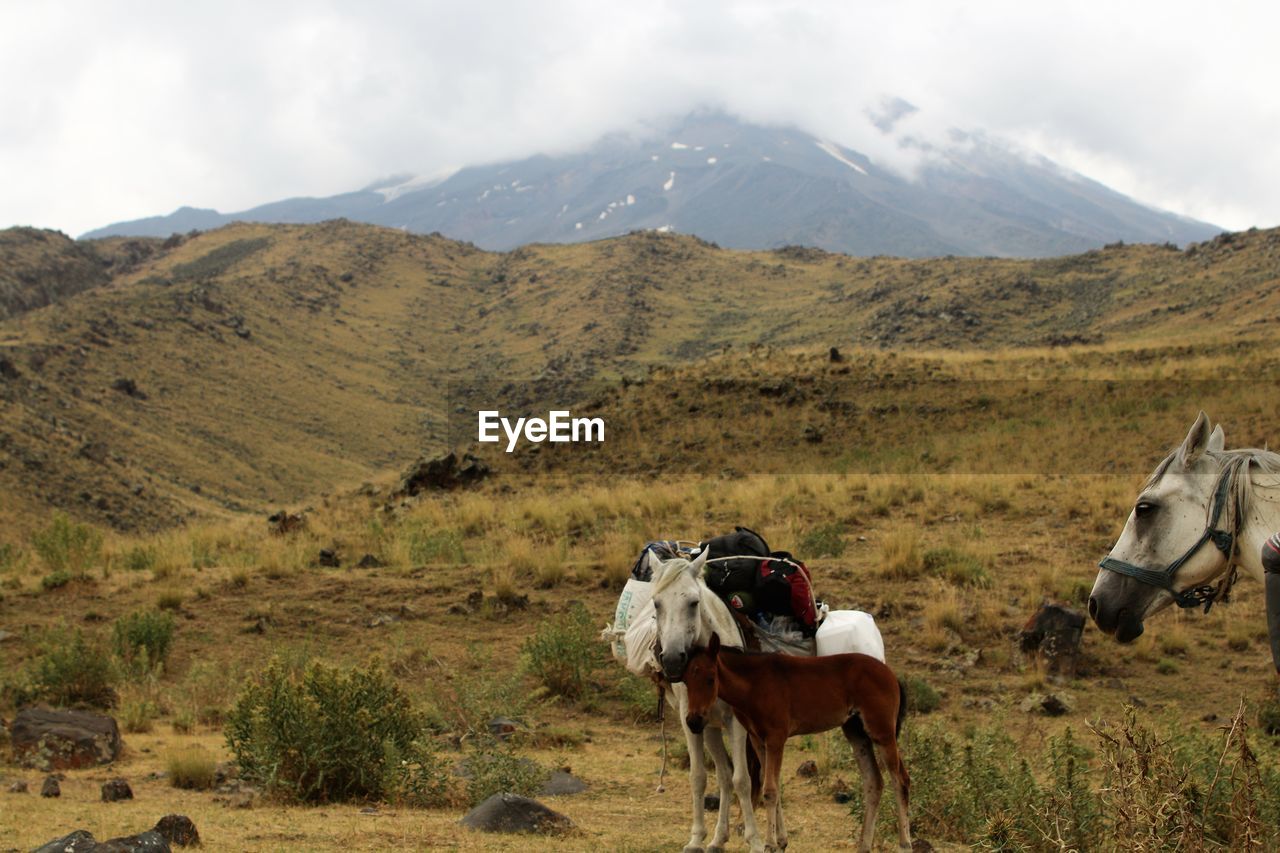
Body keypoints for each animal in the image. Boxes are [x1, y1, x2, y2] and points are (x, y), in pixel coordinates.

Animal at [686, 630, 916, 850]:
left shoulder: (776, 737)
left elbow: (770, 790)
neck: (755, 684)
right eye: (686, 681)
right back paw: (864, 846)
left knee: (901, 779)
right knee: (874, 782)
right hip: (856, 734)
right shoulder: (758, 740)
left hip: (882, 733)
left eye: (711, 679)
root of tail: (892, 676)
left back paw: (905, 845)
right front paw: (781, 841)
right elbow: (770, 785)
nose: (693, 721)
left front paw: (770, 844)